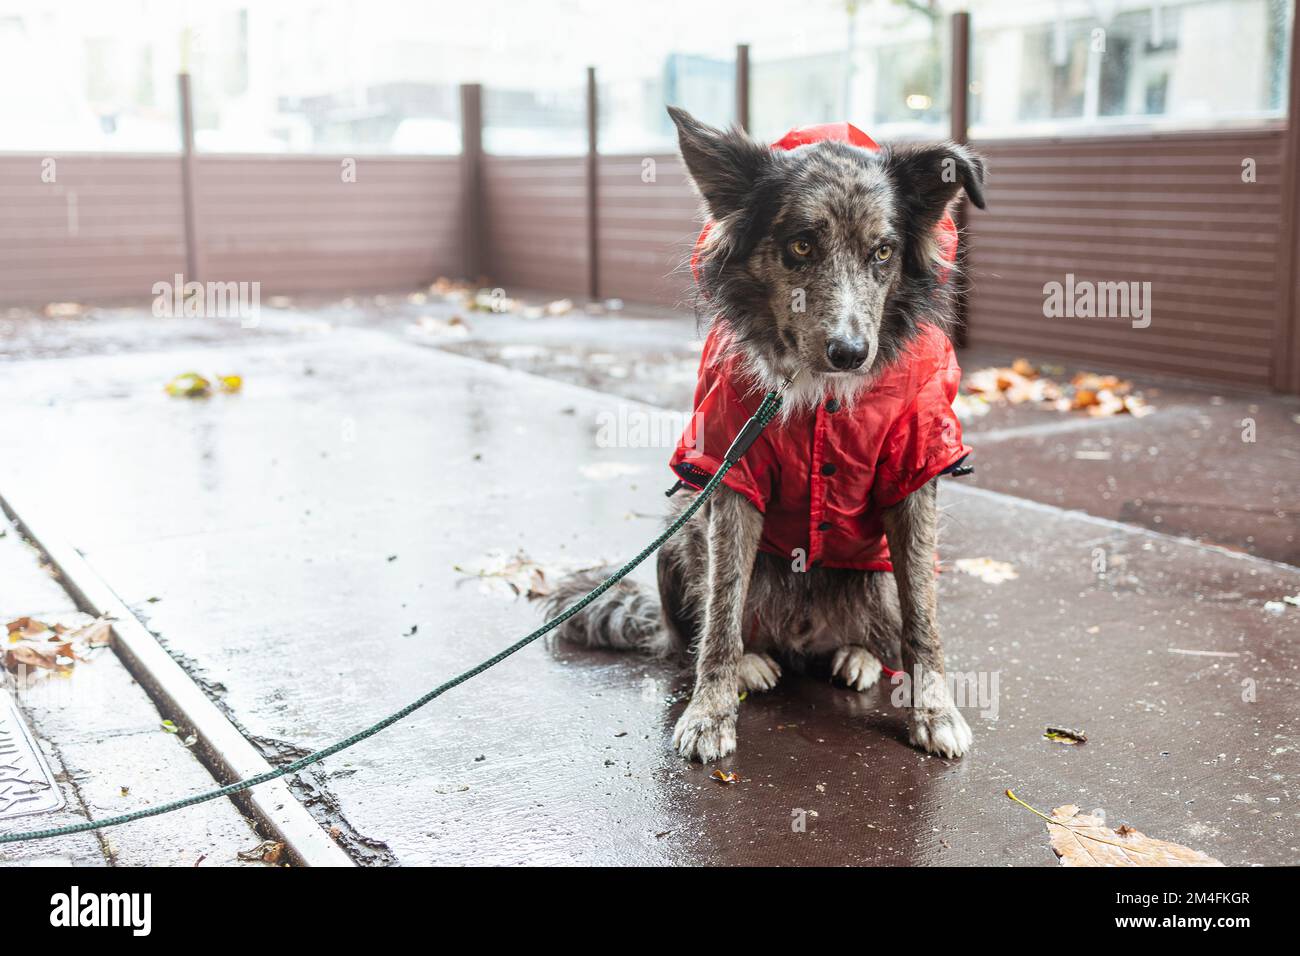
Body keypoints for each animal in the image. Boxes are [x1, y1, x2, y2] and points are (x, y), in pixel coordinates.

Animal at [546, 106, 982, 764]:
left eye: (883, 252)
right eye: (801, 244)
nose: (850, 352)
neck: (818, 391)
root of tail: (802, 638)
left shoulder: (915, 470)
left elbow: (923, 619)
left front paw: (935, 711)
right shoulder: (731, 472)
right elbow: (722, 611)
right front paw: (710, 712)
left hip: (876, 571)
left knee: (881, 625)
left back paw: (857, 655)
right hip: (679, 536)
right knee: (701, 631)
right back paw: (755, 661)